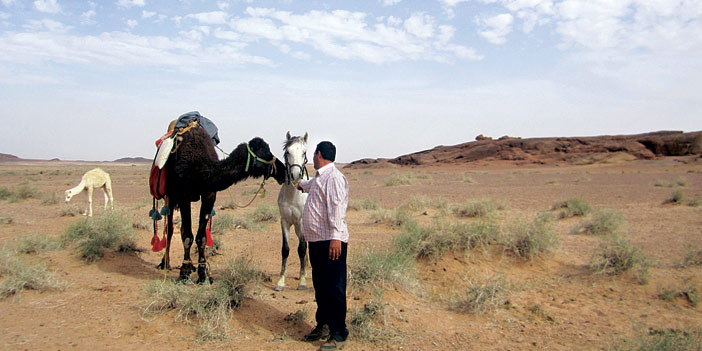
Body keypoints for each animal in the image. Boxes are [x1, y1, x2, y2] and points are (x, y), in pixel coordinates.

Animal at [160, 126, 286, 284]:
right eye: (265, 152)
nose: (283, 170)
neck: (201, 169)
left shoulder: (209, 195)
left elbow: (201, 237)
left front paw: (203, 275)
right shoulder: (184, 196)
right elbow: (187, 236)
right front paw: (184, 274)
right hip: (170, 197)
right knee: (170, 229)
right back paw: (165, 263)